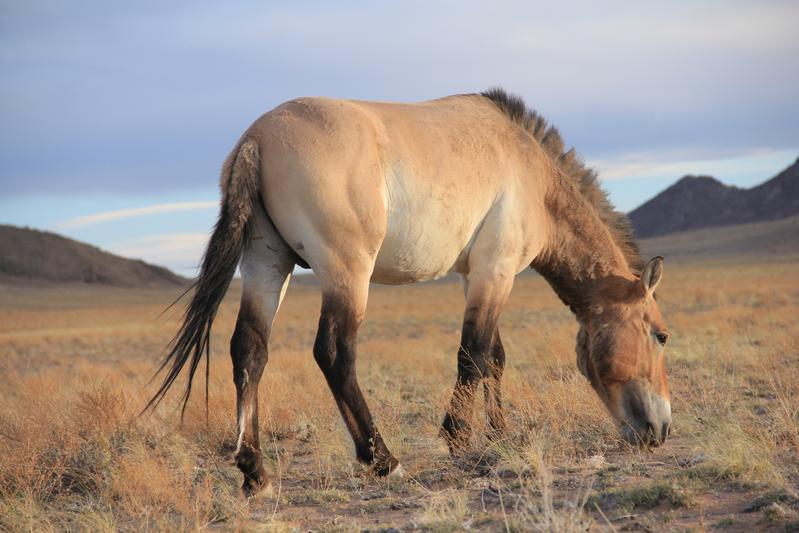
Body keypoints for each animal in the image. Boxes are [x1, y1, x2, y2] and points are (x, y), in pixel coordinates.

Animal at [147, 86, 672, 494]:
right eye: (661, 335)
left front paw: (500, 434)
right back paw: (382, 459)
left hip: (266, 265)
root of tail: (256, 138)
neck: (534, 177)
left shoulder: (474, 275)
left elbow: (495, 356)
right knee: (335, 353)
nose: (662, 429)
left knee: (250, 351)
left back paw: (255, 472)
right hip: (346, 273)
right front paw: (458, 439)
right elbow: (473, 353)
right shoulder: (496, 270)